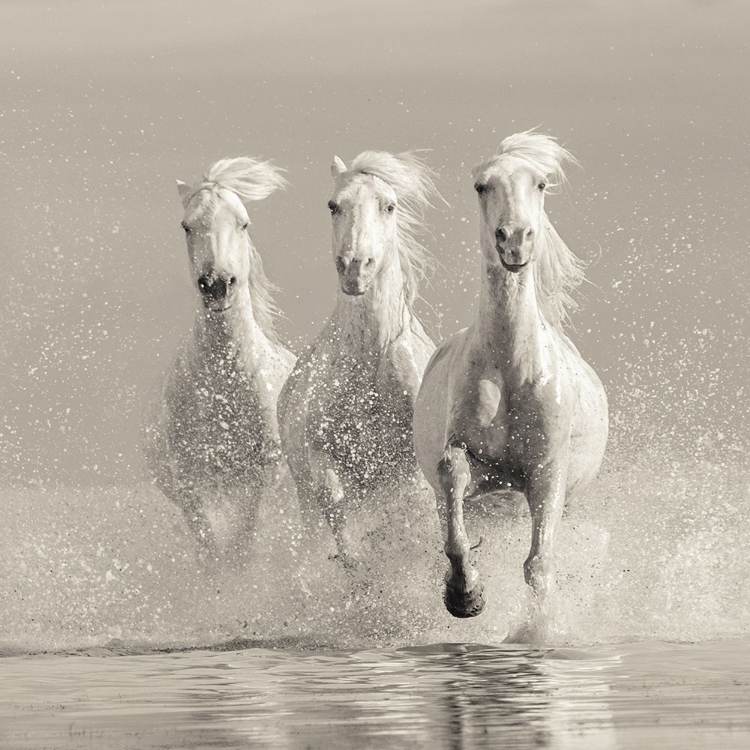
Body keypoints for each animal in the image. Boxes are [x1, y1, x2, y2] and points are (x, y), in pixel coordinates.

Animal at [145, 159, 298, 568]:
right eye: (187, 225)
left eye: (243, 223)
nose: (216, 284)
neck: (223, 384)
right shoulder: (189, 479)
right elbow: (211, 550)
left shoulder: (264, 476)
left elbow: (243, 544)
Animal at [280, 150, 446, 568]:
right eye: (333, 205)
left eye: (389, 206)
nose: (355, 267)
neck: (370, 359)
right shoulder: (320, 452)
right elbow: (333, 499)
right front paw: (354, 561)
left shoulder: (412, 466)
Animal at [414, 132, 608, 620]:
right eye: (481, 186)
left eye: (540, 184)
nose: (515, 240)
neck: (509, 368)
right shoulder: (469, 462)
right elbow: (452, 484)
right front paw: (465, 595)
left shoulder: (546, 472)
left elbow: (539, 563)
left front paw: (532, 630)